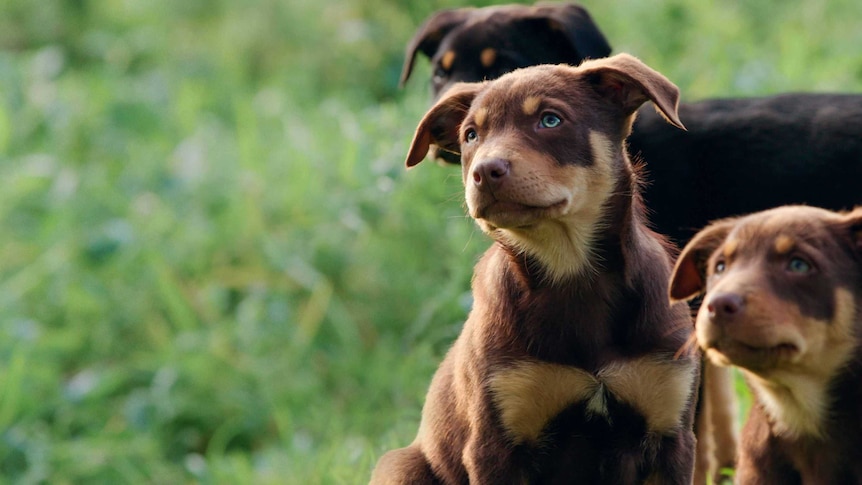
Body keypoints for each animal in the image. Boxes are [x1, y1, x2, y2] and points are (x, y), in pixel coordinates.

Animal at [374, 54, 700, 484]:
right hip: (400, 464)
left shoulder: (671, 432)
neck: (572, 269)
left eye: (550, 120)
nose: (484, 172)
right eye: (471, 135)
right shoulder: (495, 442)